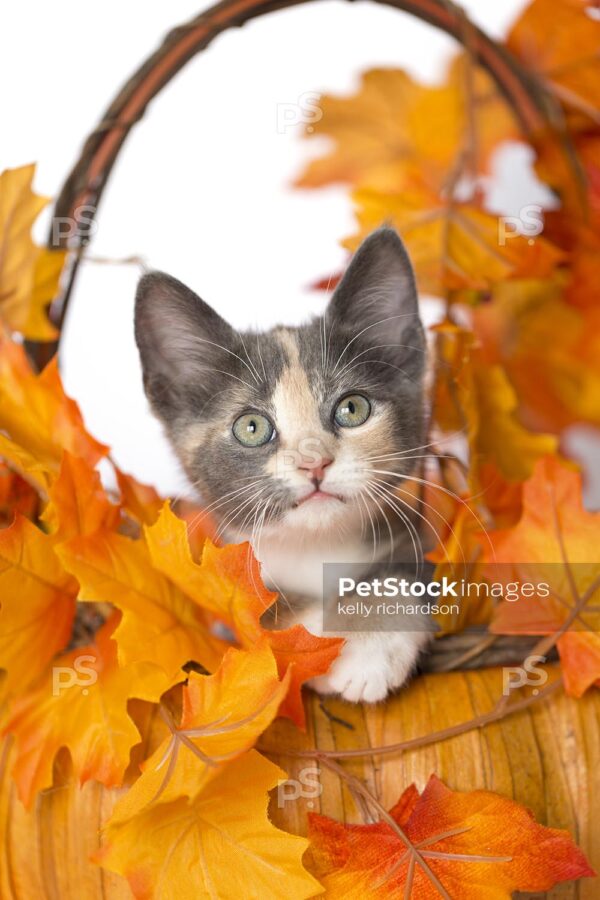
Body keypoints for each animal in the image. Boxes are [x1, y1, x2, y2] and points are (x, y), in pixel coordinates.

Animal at [136, 227, 432, 704]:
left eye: (353, 408)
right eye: (252, 427)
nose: (314, 463)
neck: (317, 547)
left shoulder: (414, 538)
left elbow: (397, 572)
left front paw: (370, 645)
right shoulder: (237, 585)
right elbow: (275, 615)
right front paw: (327, 645)